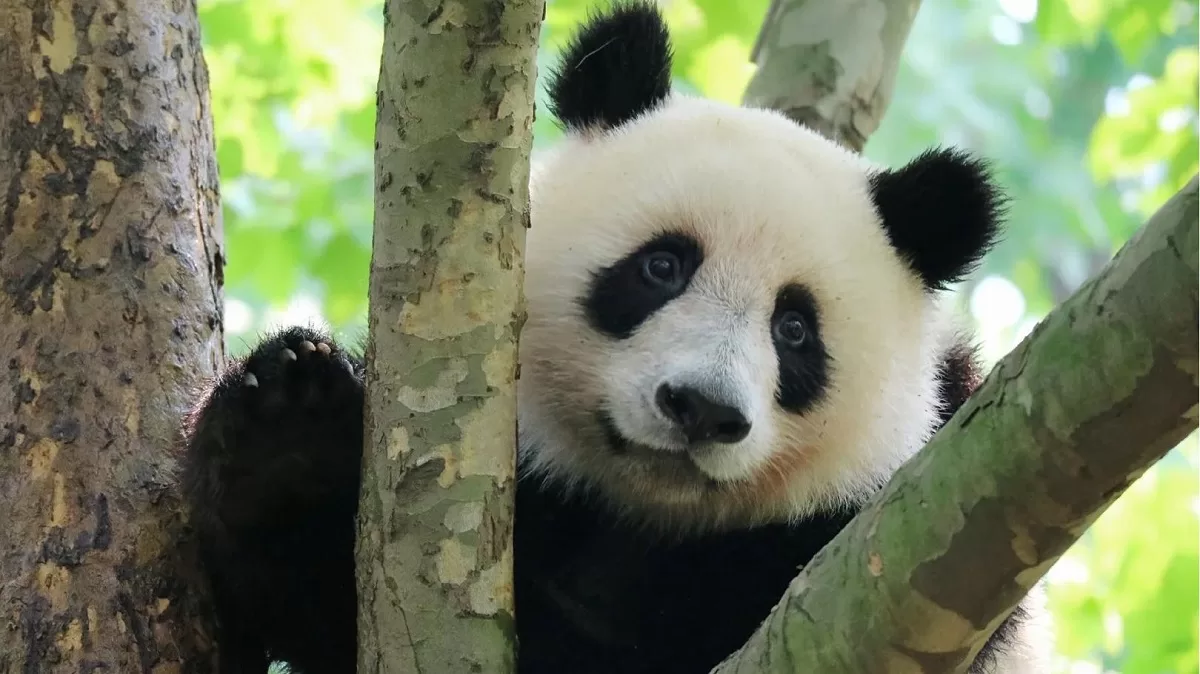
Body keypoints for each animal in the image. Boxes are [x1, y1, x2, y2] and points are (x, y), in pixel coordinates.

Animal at [181, 2, 1050, 673]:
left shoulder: (886, 528)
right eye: (662, 266)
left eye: (796, 328)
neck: (647, 512)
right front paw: (289, 425)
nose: (701, 409)